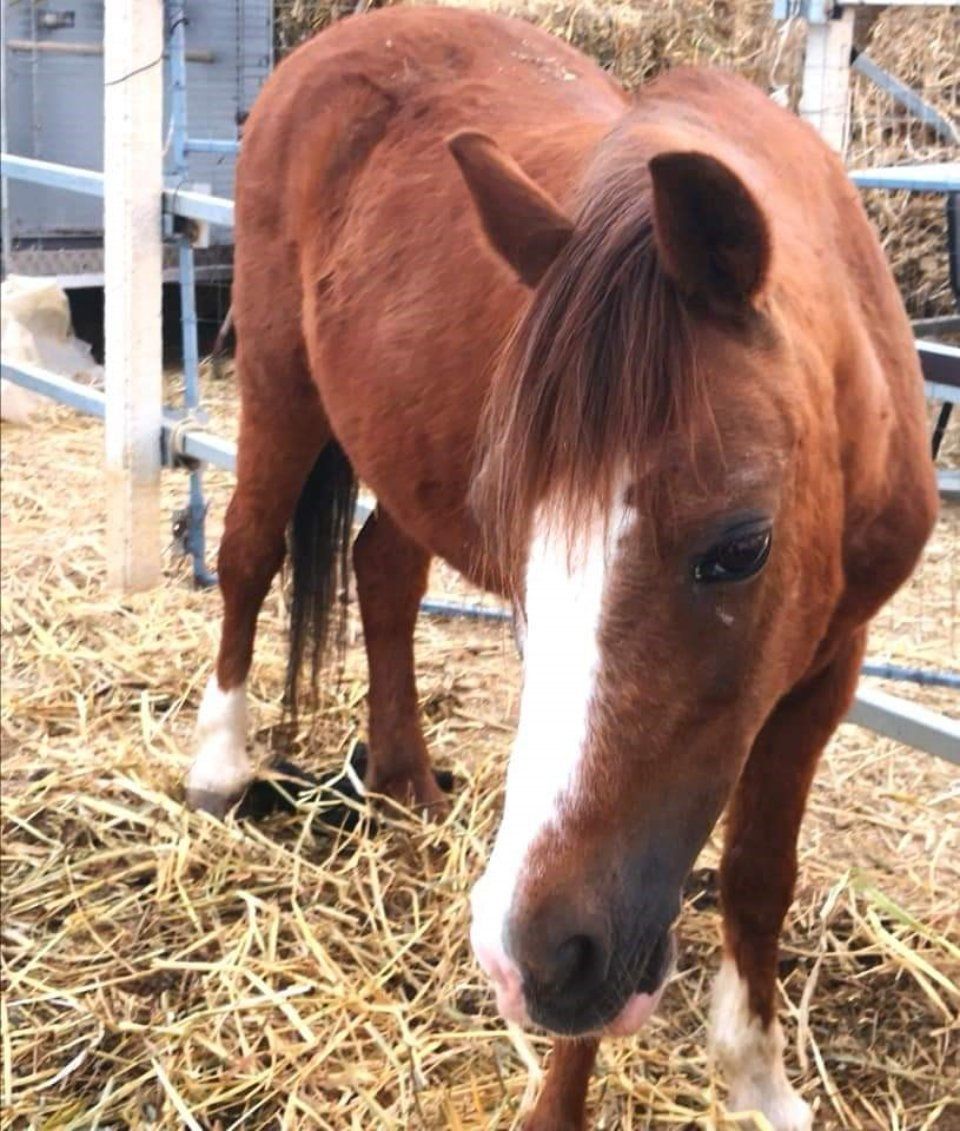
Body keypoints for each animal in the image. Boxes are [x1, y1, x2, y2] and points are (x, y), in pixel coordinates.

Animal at [184, 8, 937, 1128]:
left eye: (740, 549)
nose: (515, 962)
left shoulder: (830, 667)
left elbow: (759, 873)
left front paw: (759, 1083)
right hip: (280, 377)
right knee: (246, 557)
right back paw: (220, 769)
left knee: (382, 571)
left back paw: (406, 782)